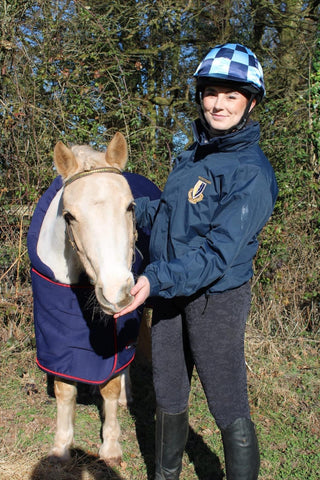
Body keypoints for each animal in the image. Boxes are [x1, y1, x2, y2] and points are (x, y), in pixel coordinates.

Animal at [28, 131, 160, 464]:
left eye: (130, 207)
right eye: (69, 216)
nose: (117, 292)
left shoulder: (116, 330)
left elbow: (111, 385)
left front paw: (111, 446)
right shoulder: (58, 333)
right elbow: (65, 390)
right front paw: (61, 446)